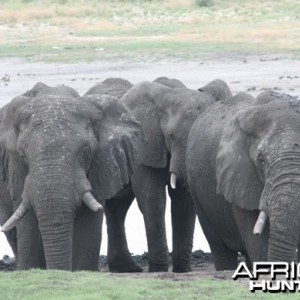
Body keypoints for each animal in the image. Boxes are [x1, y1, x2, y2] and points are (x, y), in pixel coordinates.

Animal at [88, 78, 231, 274]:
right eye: (170, 136)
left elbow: (183, 204)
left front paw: (182, 270)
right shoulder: (145, 147)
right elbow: (152, 199)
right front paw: (159, 269)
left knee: (117, 207)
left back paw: (126, 268)